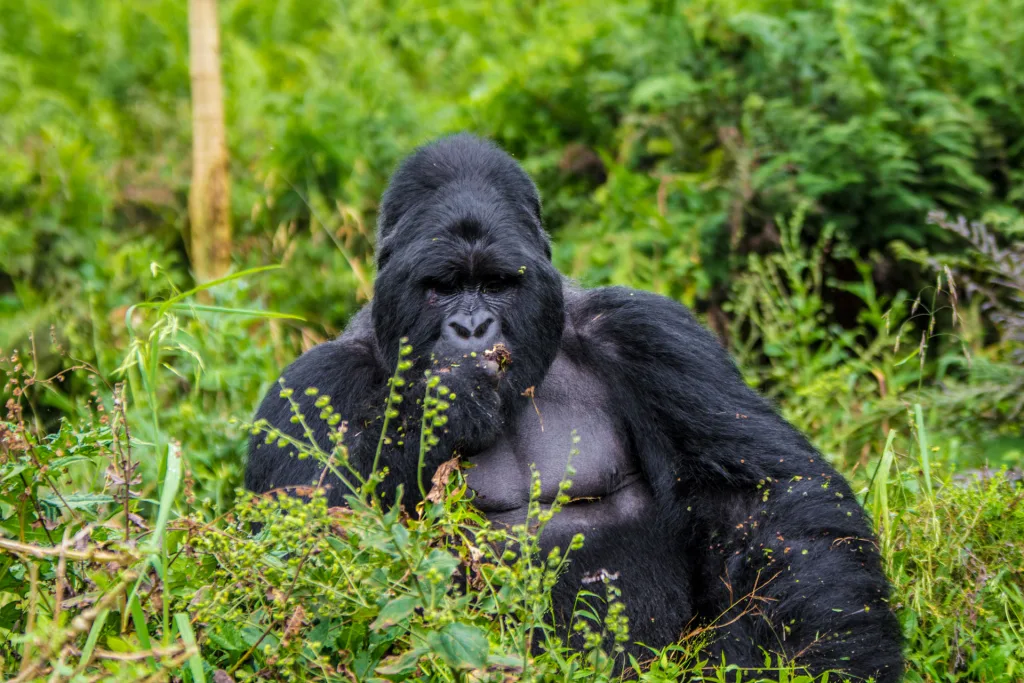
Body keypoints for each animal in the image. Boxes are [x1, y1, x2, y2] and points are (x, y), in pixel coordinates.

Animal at [247, 132, 905, 679]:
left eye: (497, 284)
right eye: (441, 288)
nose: (472, 328)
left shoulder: (647, 331)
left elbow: (762, 500)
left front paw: (829, 658)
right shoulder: (314, 384)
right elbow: (306, 556)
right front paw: (447, 401)